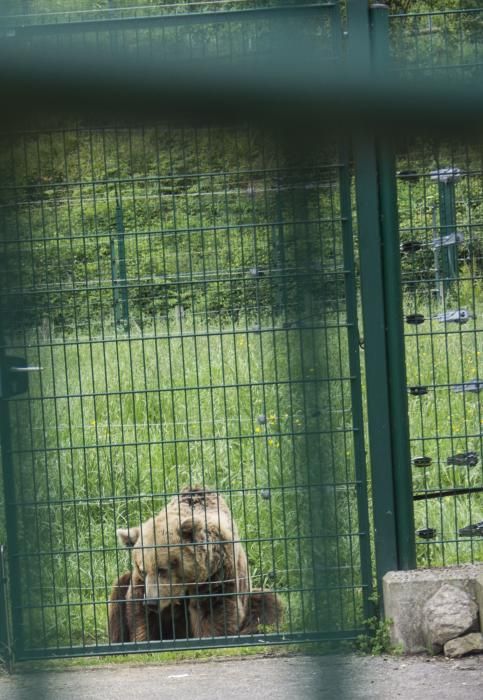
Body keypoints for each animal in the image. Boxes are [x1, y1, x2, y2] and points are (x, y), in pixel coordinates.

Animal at [108, 486, 284, 640]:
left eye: (162, 569)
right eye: (142, 570)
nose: (151, 602)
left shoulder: (217, 572)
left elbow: (214, 610)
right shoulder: (141, 585)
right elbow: (140, 614)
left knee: (267, 604)